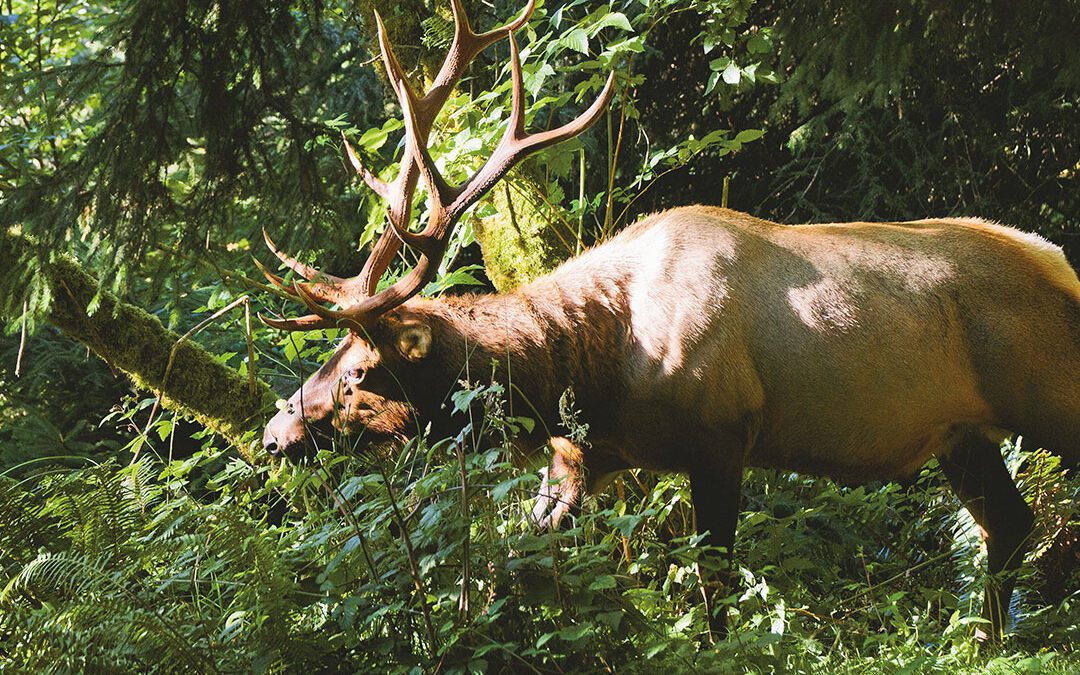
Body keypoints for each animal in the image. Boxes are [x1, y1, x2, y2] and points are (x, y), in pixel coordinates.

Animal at [254, 0, 1080, 639]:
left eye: (362, 369)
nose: (273, 431)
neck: (590, 365)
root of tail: (1061, 265)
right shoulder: (582, 458)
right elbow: (505, 569)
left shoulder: (722, 436)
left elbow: (714, 590)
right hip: (963, 435)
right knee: (1009, 526)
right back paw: (981, 643)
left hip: (1052, 398)